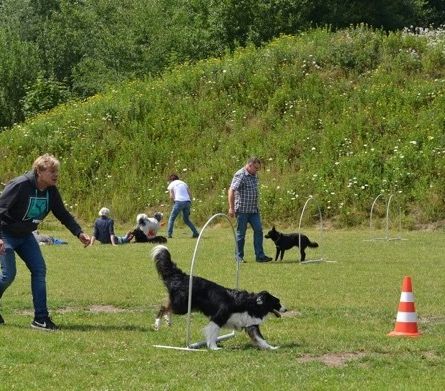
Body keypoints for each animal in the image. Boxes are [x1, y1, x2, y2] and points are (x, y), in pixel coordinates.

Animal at [151, 245, 286, 352]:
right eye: (277, 302)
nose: (285, 309)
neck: (251, 304)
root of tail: (182, 276)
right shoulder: (218, 317)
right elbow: (212, 333)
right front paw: (214, 347)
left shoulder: (251, 325)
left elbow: (261, 339)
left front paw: (272, 348)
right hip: (182, 306)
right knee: (164, 307)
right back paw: (158, 323)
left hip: (185, 306)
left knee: (168, 305)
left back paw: (168, 320)